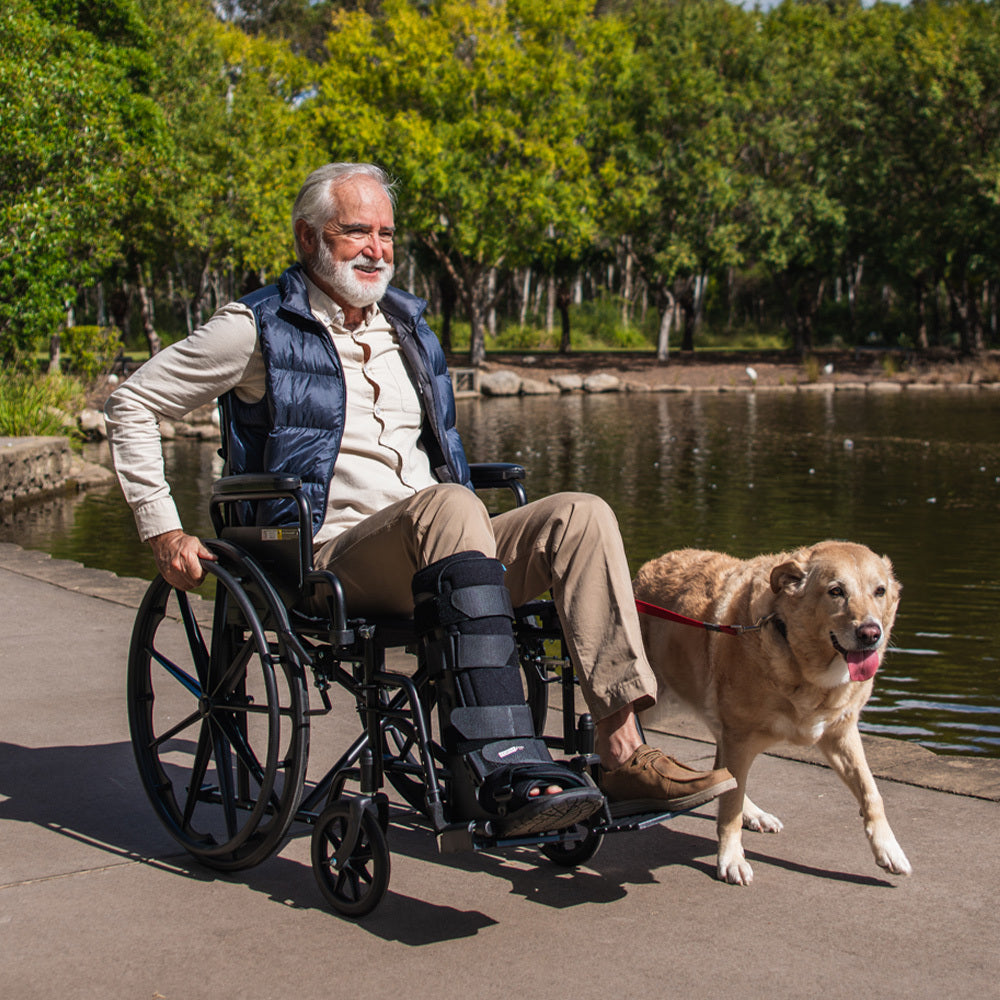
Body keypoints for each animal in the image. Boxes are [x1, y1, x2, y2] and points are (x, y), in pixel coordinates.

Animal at [636, 544, 912, 888]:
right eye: (836, 591)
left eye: (880, 591)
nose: (870, 633)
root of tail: (650, 567)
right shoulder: (739, 737)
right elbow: (730, 807)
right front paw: (731, 858)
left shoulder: (840, 733)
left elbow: (871, 792)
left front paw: (889, 849)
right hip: (650, 703)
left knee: (725, 773)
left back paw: (753, 812)